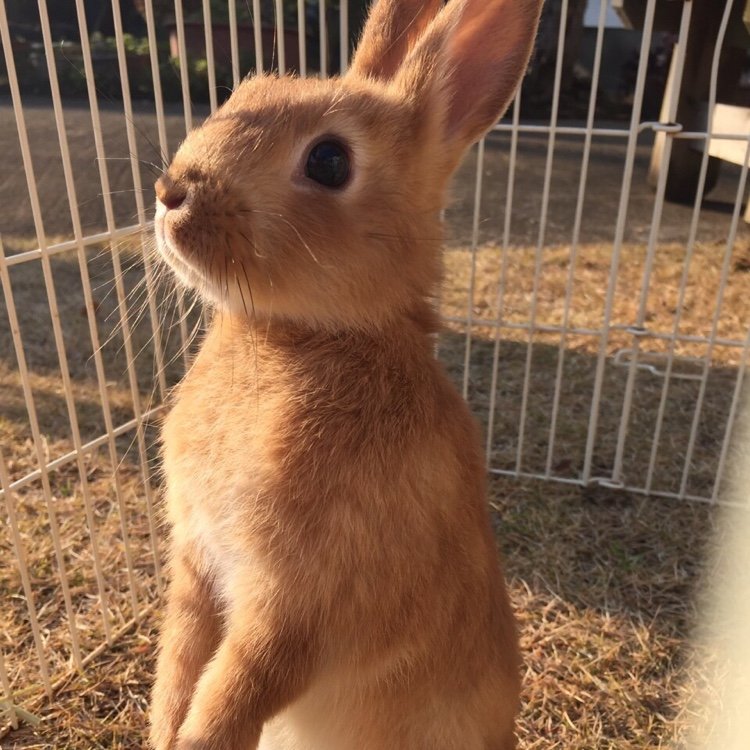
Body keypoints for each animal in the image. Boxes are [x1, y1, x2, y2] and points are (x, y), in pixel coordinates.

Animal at [150, 1, 544, 750]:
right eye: (243, 94)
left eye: (329, 161)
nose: (170, 192)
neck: (308, 336)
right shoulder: (196, 564)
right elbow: (179, 662)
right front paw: (161, 733)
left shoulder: (302, 601)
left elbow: (238, 689)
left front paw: (194, 740)